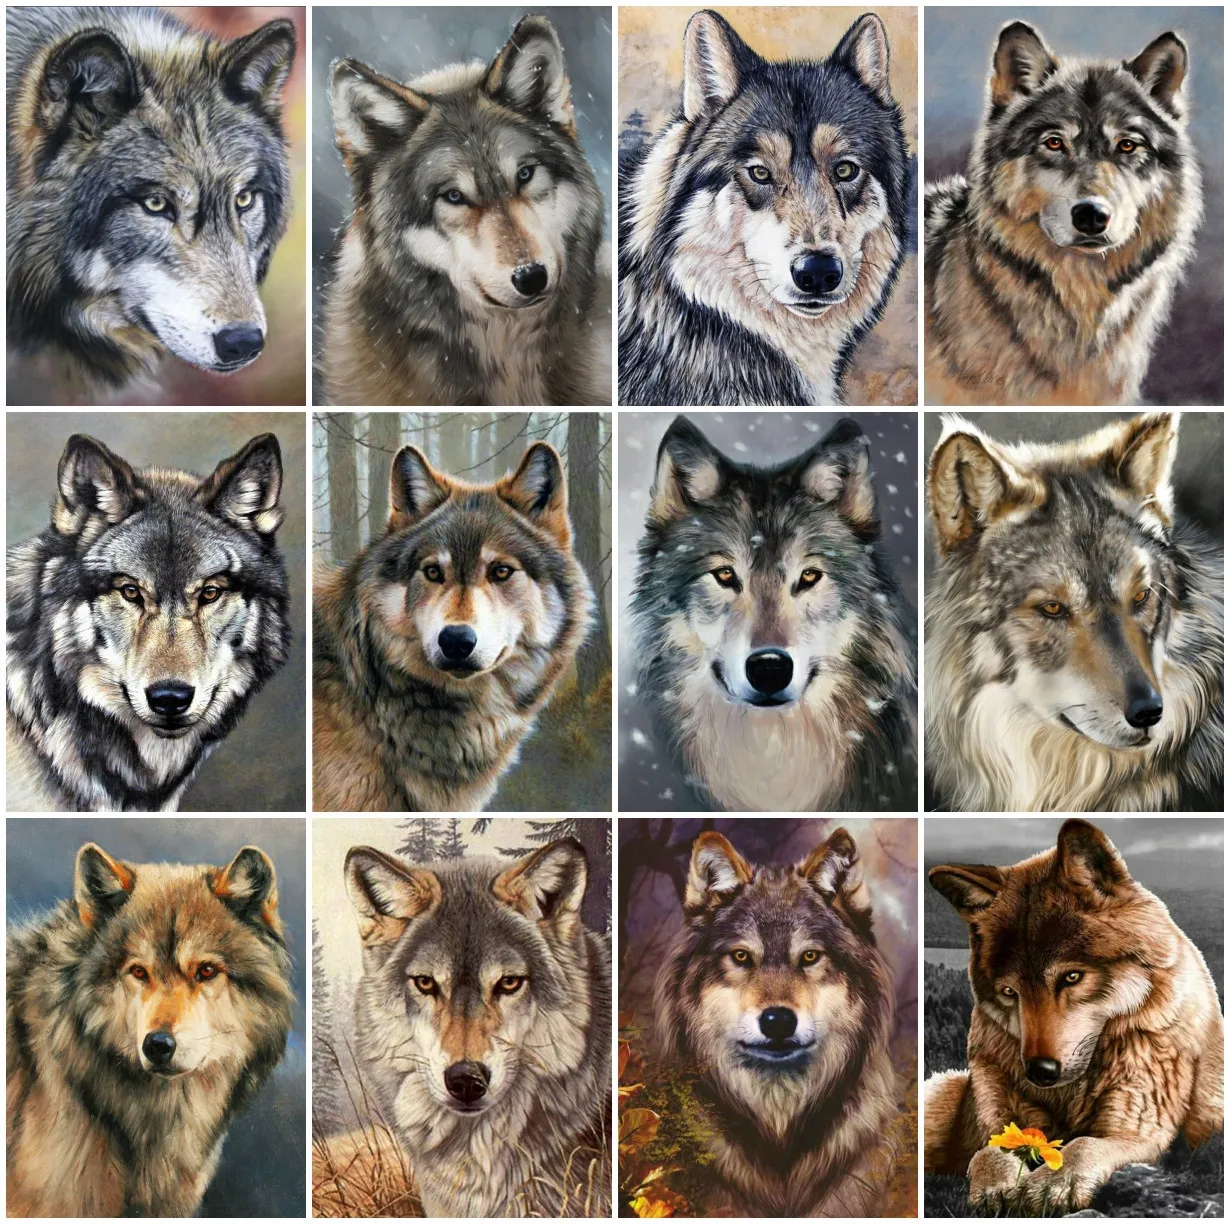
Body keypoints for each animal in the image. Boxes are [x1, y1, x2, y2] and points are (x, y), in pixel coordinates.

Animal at [925, 819, 1224, 1215]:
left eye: (1071, 977)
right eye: (1010, 992)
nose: (1039, 1072)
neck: (1070, 1095)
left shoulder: (1139, 1131)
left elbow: (1083, 1144)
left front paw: (1052, 1184)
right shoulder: (998, 1119)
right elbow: (989, 1151)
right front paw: (997, 1187)